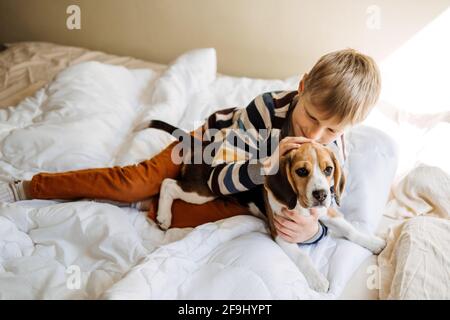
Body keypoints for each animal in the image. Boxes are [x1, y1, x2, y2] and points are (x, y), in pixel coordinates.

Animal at [149, 119, 386, 292]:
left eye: (328, 170)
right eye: (302, 171)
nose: (321, 194)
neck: (301, 205)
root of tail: (203, 144)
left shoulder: (326, 211)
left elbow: (350, 230)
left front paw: (373, 242)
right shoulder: (282, 233)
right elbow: (302, 258)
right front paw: (317, 280)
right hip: (202, 192)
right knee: (168, 184)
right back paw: (164, 217)